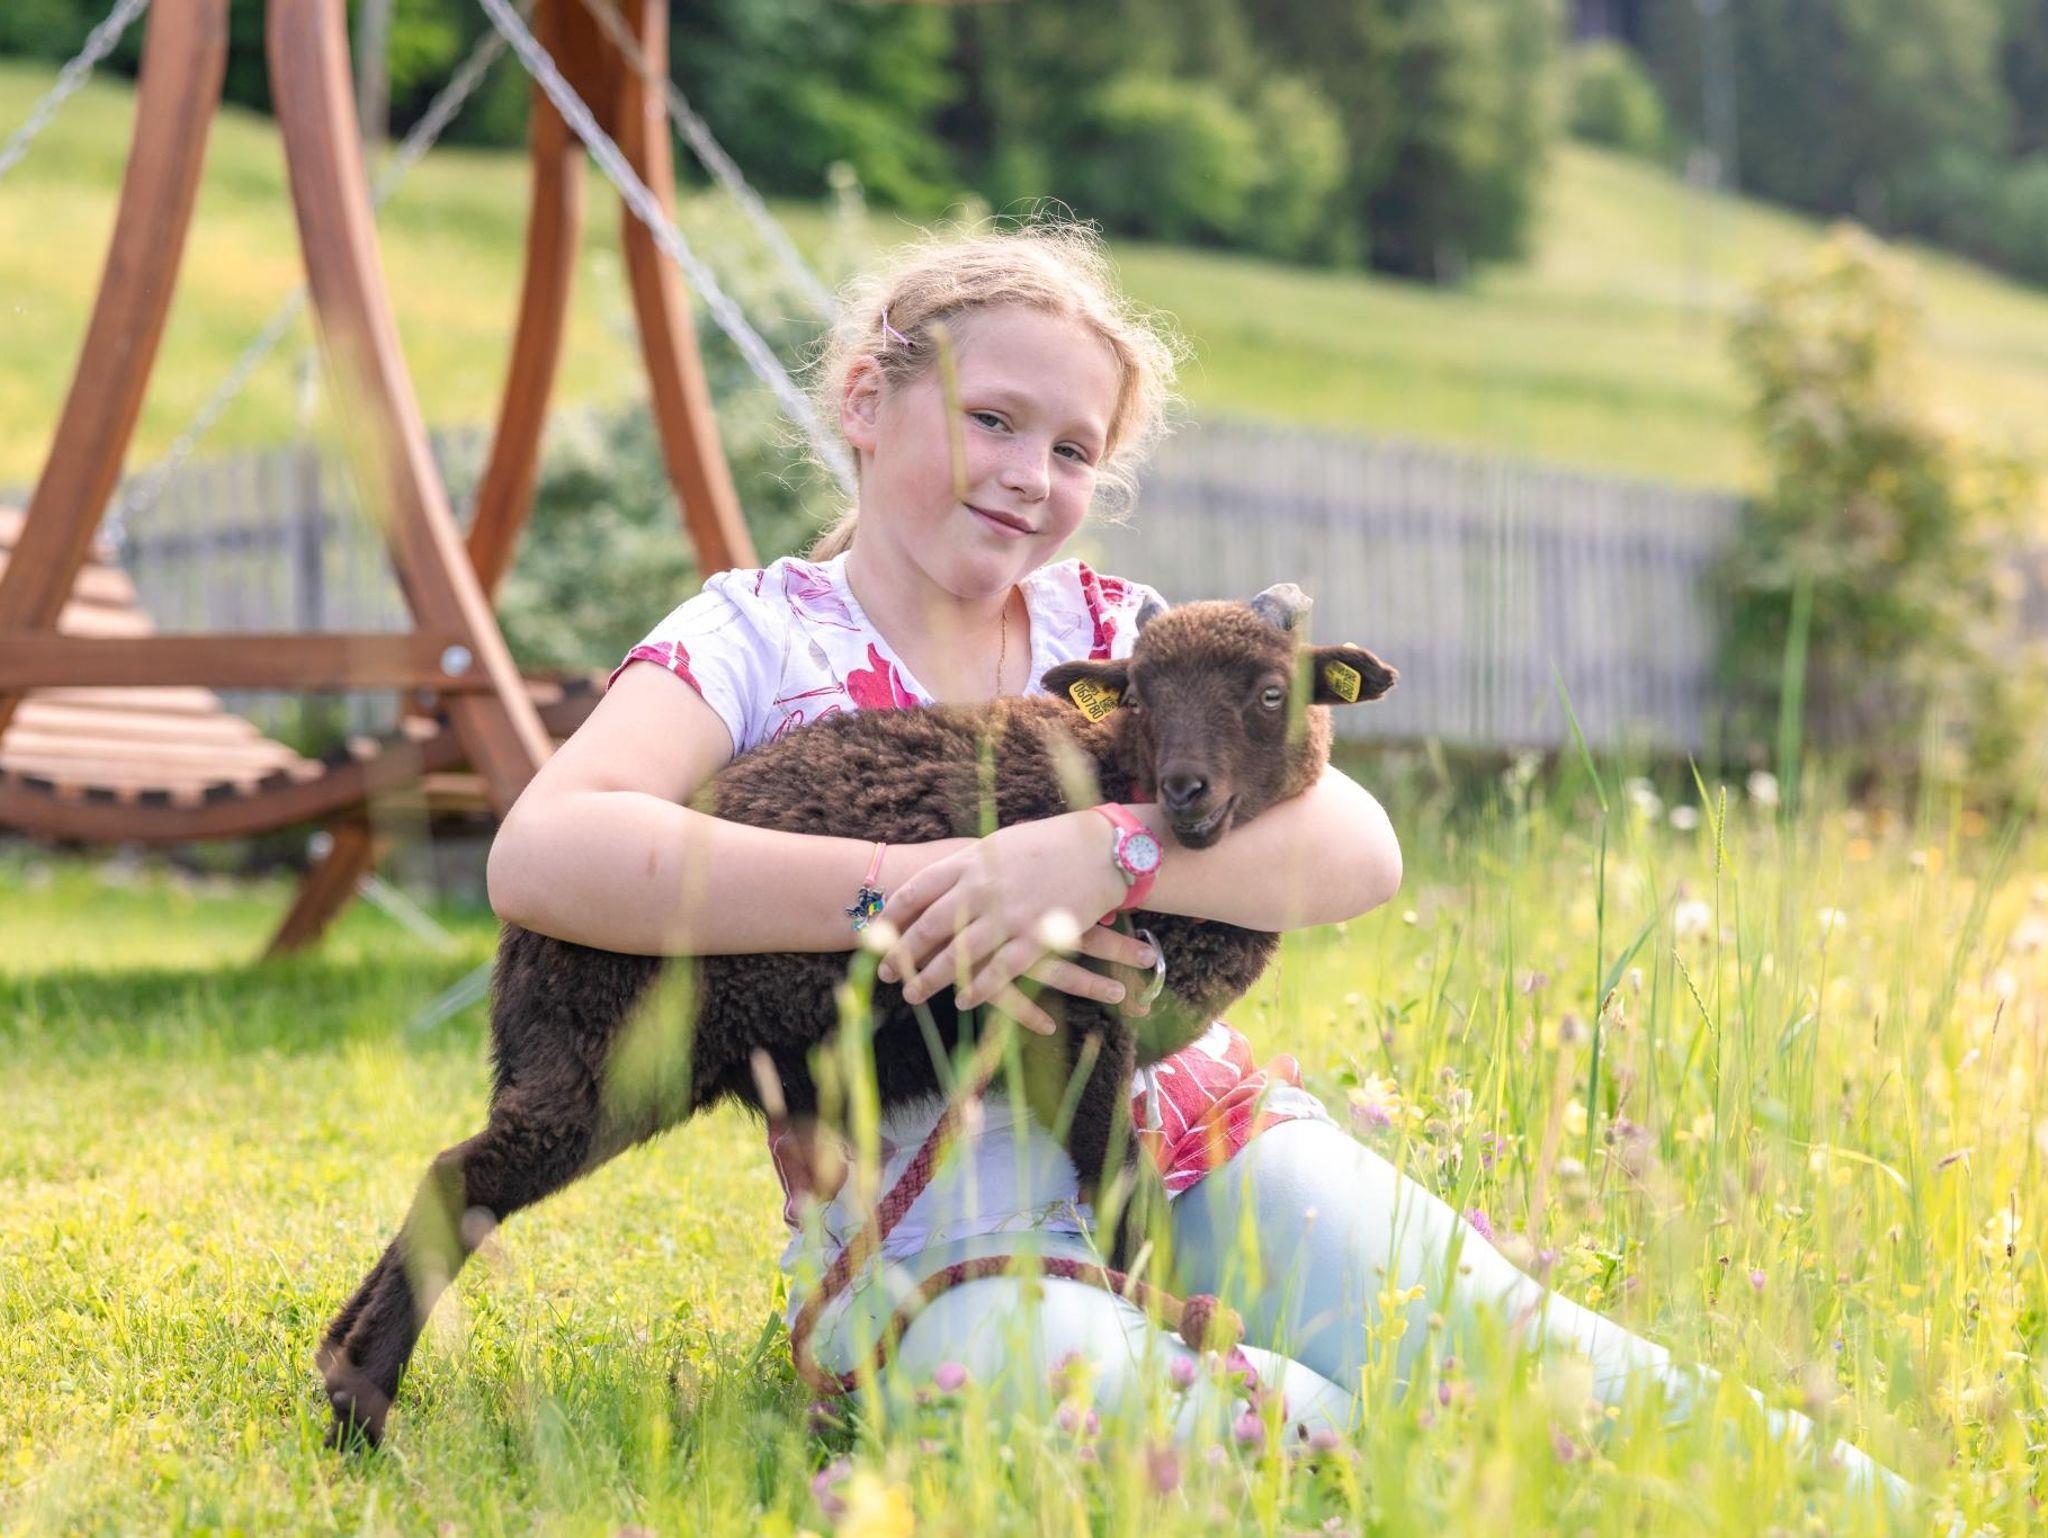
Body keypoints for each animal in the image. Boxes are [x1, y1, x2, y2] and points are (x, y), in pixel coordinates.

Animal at [317, 582, 1396, 1448]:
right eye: (1140, 692)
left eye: (1271, 692)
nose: (1185, 791)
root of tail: (516, 940)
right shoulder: (1072, 1026)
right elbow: (1122, 1194)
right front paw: (1182, 1320)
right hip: (604, 1068)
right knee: (459, 1183)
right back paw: (363, 1415)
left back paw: (335, 1372)